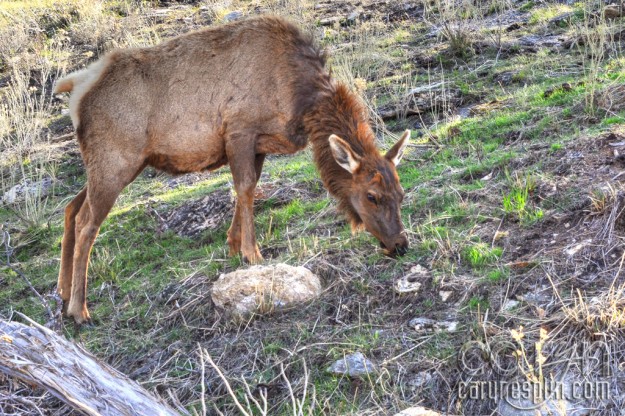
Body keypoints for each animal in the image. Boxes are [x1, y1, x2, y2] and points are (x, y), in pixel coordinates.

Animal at [54, 15, 410, 324]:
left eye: (401, 193)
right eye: (372, 195)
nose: (400, 245)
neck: (301, 102)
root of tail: (77, 89)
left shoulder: (259, 143)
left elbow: (247, 189)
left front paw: (234, 245)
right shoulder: (240, 129)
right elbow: (246, 187)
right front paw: (253, 253)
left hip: (110, 164)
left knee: (71, 208)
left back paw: (63, 291)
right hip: (115, 161)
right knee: (87, 222)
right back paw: (79, 309)